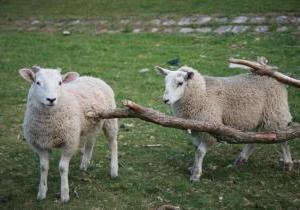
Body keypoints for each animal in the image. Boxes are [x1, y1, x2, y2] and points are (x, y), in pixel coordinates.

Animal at [19, 67, 118, 202]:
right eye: (37, 82)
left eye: (60, 83)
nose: (51, 99)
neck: (48, 125)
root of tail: (93, 77)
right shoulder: (39, 145)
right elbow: (43, 167)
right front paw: (41, 193)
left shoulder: (69, 142)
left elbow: (62, 168)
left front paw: (65, 195)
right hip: (92, 123)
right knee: (90, 141)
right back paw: (84, 164)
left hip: (110, 119)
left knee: (113, 143)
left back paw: (114, 170)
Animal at [157, 66, 292, 182]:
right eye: (165, 82)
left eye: (180, 83)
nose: (165, 100)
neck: (202, 93)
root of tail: (271, 72)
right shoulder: (196, 129)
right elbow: (196, 149)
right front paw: (193, 168)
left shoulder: (211, 128)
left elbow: (200, 151)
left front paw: (196, 174)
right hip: (258, 117)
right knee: (255, 139)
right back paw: (241, 159)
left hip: (275, 113)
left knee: (283, 139)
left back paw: (288, 163)